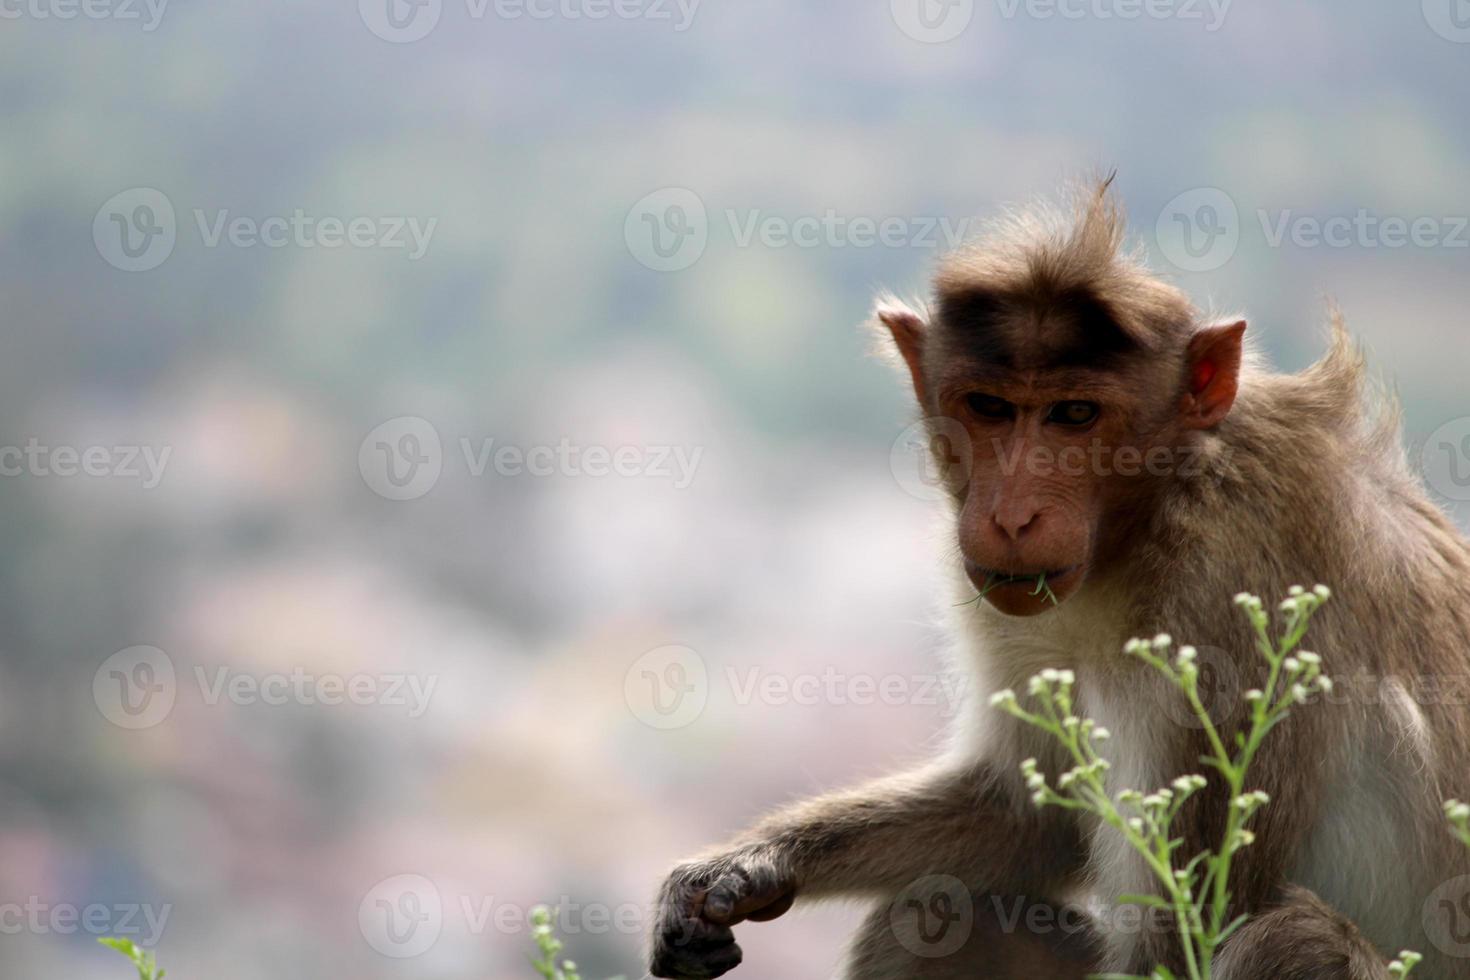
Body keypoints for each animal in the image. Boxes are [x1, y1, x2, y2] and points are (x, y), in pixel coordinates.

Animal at [649, 178, 1470, 980]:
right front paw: (750, 865)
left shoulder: (1234, 585)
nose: (1013, 515)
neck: (1144, 522)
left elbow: (1183, 938)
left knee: (1293, 941)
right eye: (989, 408)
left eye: (1074, 414)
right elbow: (1028, 817)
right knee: (935, 912)